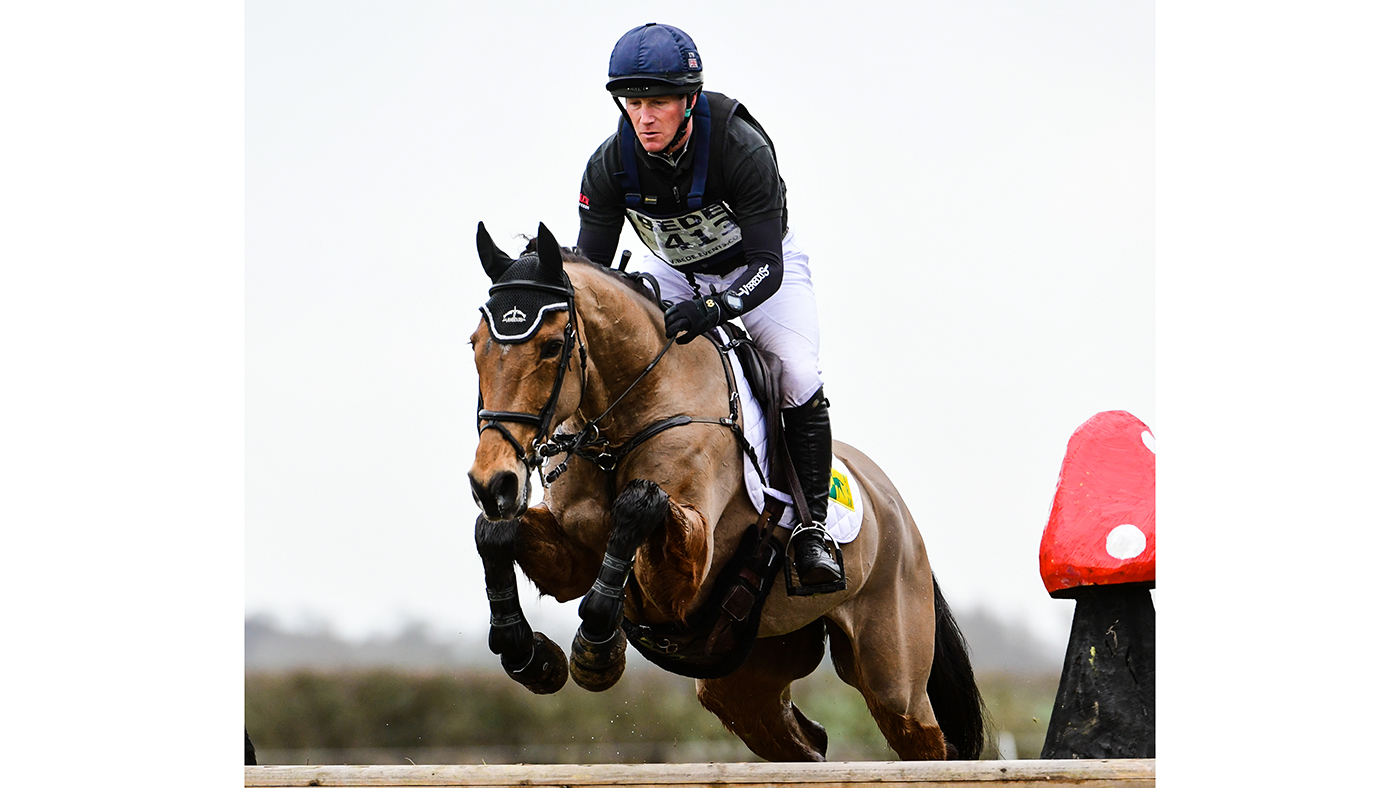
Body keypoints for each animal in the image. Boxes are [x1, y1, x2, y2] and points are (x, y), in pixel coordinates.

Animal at [467, 222, 986, 761]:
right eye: (475, 343)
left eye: (551, 346)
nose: (494, 482)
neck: (626, 421)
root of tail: (898, 513)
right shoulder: (572, 556)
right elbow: (493, 533)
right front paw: (527, 653)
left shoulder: (686, 570)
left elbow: (639, 504)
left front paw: (597, 649)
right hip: (744, 679)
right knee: (808, 744)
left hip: (893, 681)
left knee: (928, 743)